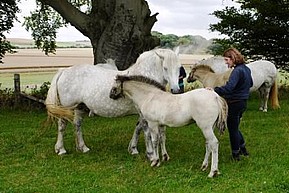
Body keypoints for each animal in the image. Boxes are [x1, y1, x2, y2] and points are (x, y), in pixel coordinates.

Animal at [44, 48, 180, 157]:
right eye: (165, 68)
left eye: (179, 68)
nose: (176, 90)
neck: (144, 78)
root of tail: (64, 71)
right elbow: (143, 129)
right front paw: (142, 151)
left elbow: (138, 127)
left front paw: (132, 148)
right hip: (66, 108)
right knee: (62, 126)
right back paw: (61, 149)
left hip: (79, 107)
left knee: (77, 125)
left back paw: (83, 148)